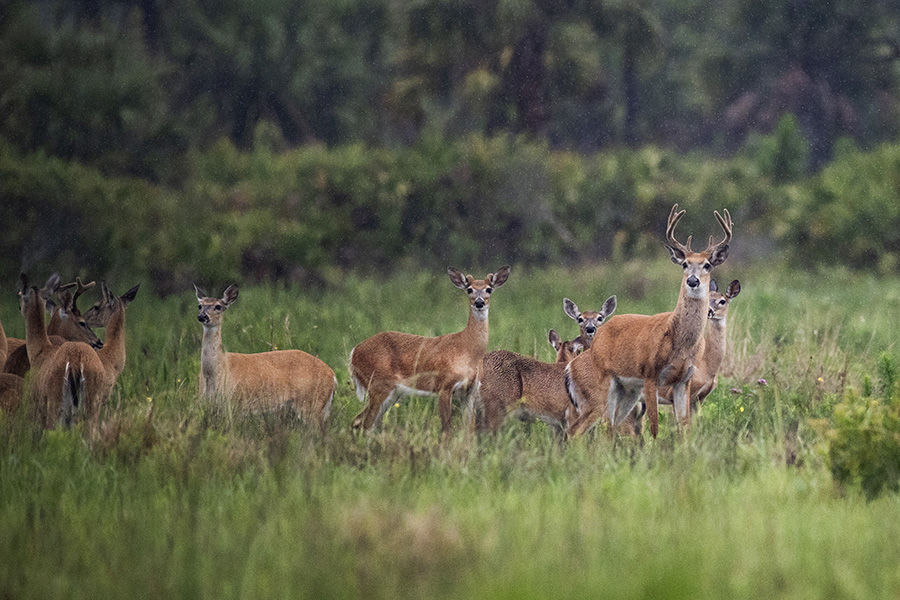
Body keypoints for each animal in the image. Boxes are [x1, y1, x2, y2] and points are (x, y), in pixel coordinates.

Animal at [18, 272, 108, 426]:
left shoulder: (36, 405)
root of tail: (76, 364)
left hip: (55, 404)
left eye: (20, 294)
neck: (40, 350)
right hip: (93, 405)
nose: (99, 342)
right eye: (82, 322)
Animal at [194, 284, 338, 428]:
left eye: (218, 306)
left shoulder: (234, 403)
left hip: (312, 402)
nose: (202, 316)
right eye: (200, 305)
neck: (216, 370)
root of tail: (332, 375)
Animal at [348, 266, 510, 432]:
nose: (479, 302)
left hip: (393, 392)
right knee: (364, 422)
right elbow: (446, 429)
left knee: (362, 422)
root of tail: (353, 352)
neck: (468, 351)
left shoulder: (469, 391)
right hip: (378, 385)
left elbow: (468, 430)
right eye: (469, 289)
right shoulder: (444, 385)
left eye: (489, 289)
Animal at [568, 205, 736, 436]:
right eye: (685, 264)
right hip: (605, 381)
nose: (693, 281)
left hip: (627, 389)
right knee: (595, 426)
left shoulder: (683, 381)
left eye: (708, 265)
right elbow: (655, 426)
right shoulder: (650, 374)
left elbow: (684, 426)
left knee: (610, 425)